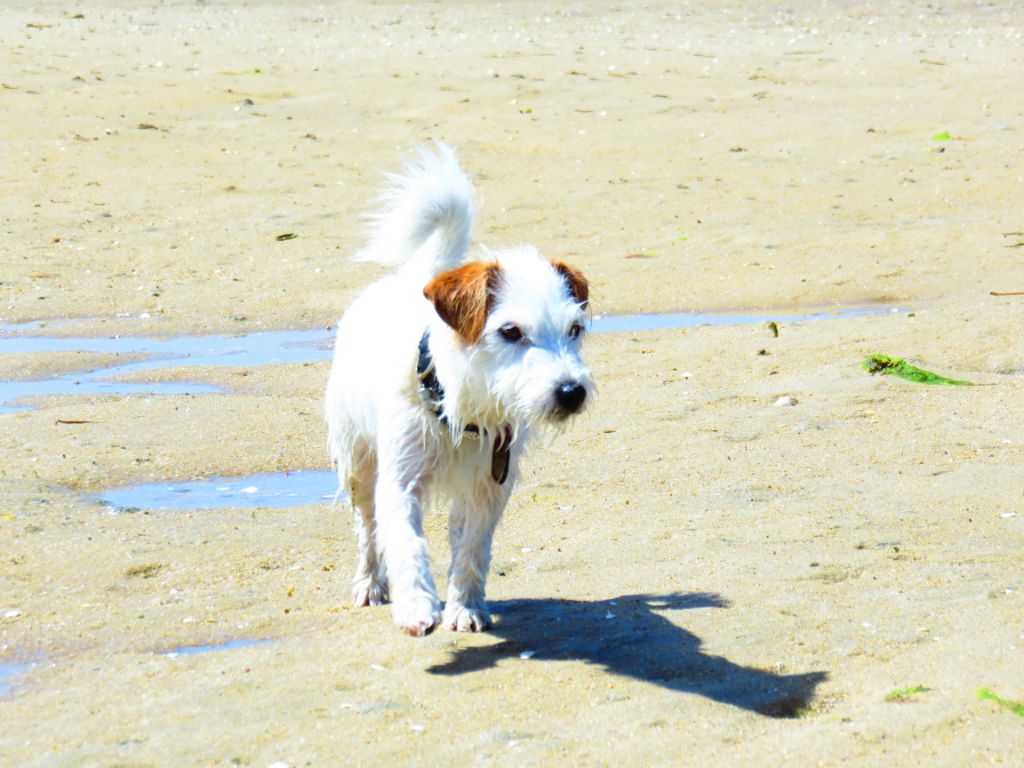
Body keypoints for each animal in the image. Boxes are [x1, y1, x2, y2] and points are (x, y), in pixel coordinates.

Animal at [324, 145, 593, 636]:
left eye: (575, 329)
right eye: (510, 331)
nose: (570, 391)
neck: (463, 410)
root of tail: (412, 278)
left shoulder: (489, 488)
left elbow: (472, 549)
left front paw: (465, 606)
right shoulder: (399, 482)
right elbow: (405, 544)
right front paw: (416, 606)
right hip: (359, 463)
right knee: (368, 529)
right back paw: (370, 582)